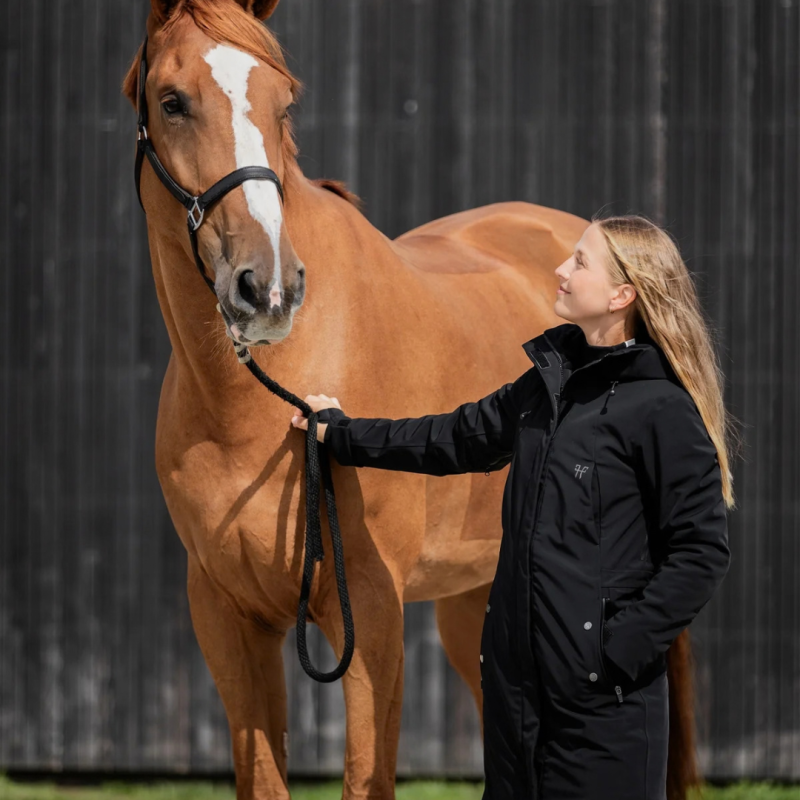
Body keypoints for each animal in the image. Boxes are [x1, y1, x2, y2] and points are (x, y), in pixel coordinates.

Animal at [123, 1, 698, 797]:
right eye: (172, 101)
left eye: (284, 102)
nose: (268, 287)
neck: (254, 405)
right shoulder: (226, 616)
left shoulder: (370, 614)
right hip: (475, 602)